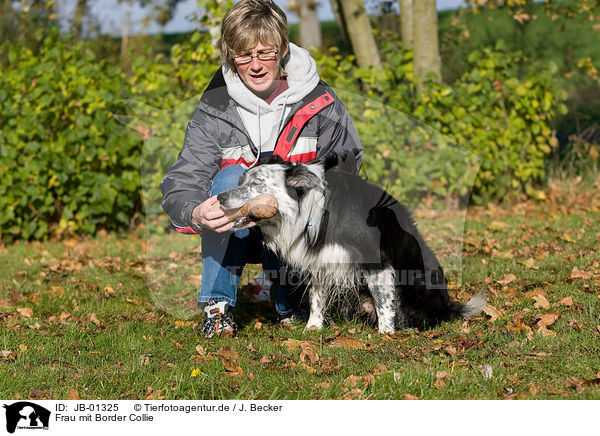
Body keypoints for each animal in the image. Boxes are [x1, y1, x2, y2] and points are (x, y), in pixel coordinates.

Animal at [218, 157, 486, 334]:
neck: (313, 208)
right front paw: (312, 328)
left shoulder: (377, 261)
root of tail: (446, 307)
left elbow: (385, 303)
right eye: (242, 181)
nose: (220, 197)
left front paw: (386, 336)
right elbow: (316, 298)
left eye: (256, 184)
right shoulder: (321, 260)